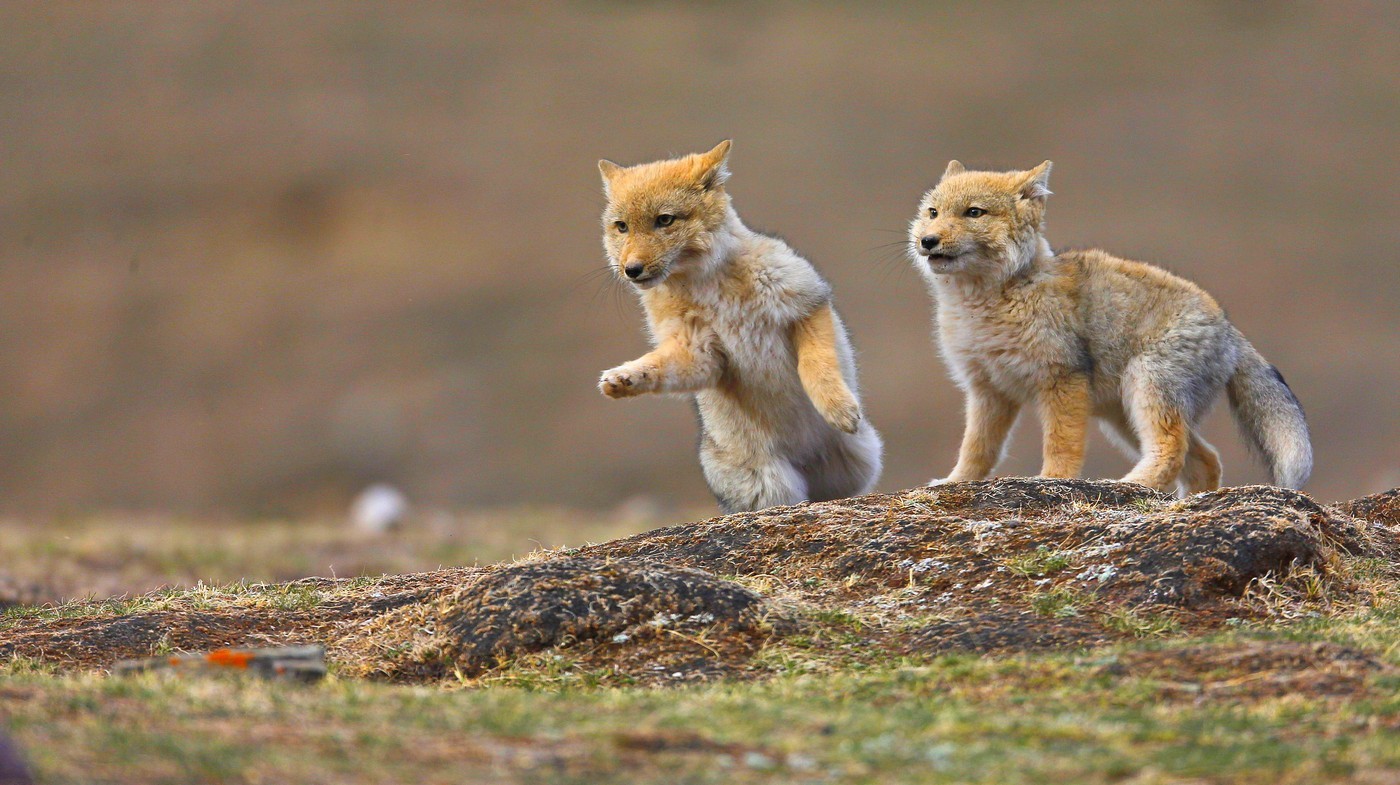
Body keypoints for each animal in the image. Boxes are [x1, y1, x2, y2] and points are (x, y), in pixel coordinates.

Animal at [596, 139, 879, 514]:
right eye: (622, 226)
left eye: (664, 220)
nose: (631, 270)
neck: (711, 289)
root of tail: (806, 460)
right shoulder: (699, 351)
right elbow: (657, 366)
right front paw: (624, 378)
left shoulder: (806, 304)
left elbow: (816, 365)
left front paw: (838, 408)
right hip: (771, 486)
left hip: (858, 460)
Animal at [907, 158, 1310, 489]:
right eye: (932, 212)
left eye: (974, 212)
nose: (927, 240)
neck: (989, 303)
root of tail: (1229, 328)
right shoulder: (987, 390)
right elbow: (977, 450)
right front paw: (955, 483)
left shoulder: (1062, 380)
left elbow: (1061, 446)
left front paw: (1052, 482)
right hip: (1124, 418)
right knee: (1205, 460)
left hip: (1146, 390)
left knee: (1174, 449)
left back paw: (1132, 485)